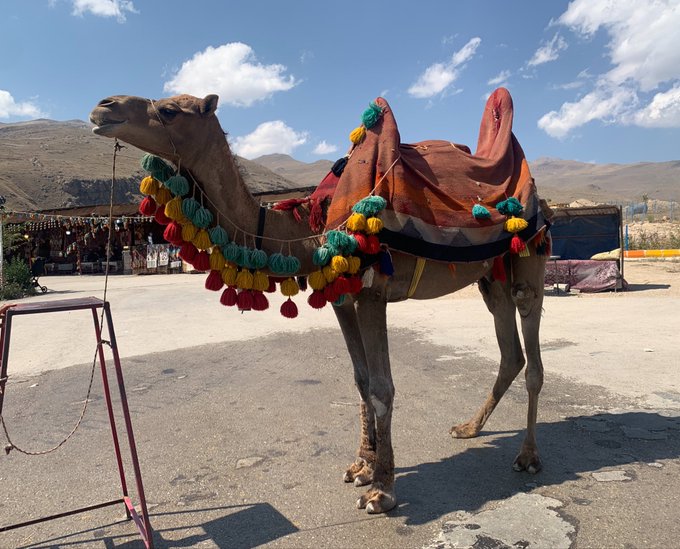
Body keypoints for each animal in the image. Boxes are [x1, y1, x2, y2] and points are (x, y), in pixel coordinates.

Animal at [89, 91, 548, 515]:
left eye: (169, 110)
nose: (103, 107)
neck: (307, 236)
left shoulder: (373, 293)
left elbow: (382, 386)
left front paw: (382, 491)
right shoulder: (341, 299)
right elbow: (361, 381)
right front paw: (362, 467)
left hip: (530, 263)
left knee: (532, 357)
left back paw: (528, 456)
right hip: (491, 278)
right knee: (511, 353)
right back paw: (469, 428)